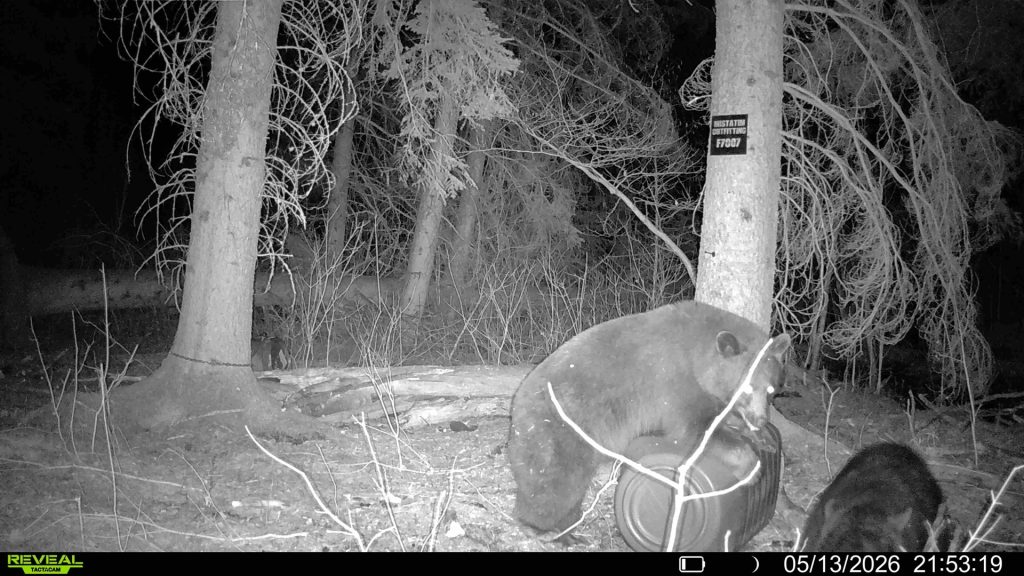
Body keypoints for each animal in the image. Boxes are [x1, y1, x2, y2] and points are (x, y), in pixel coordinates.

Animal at [508, 300, 791, 535]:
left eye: (771, 390)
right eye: (746, 389)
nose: (760, 419)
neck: (697, 353)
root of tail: (518, 400)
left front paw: (762, 437)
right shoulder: (676, 383)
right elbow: (694, 429)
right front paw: (751, 466)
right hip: (559, 431)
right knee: (553, 483)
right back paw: (541, 526)